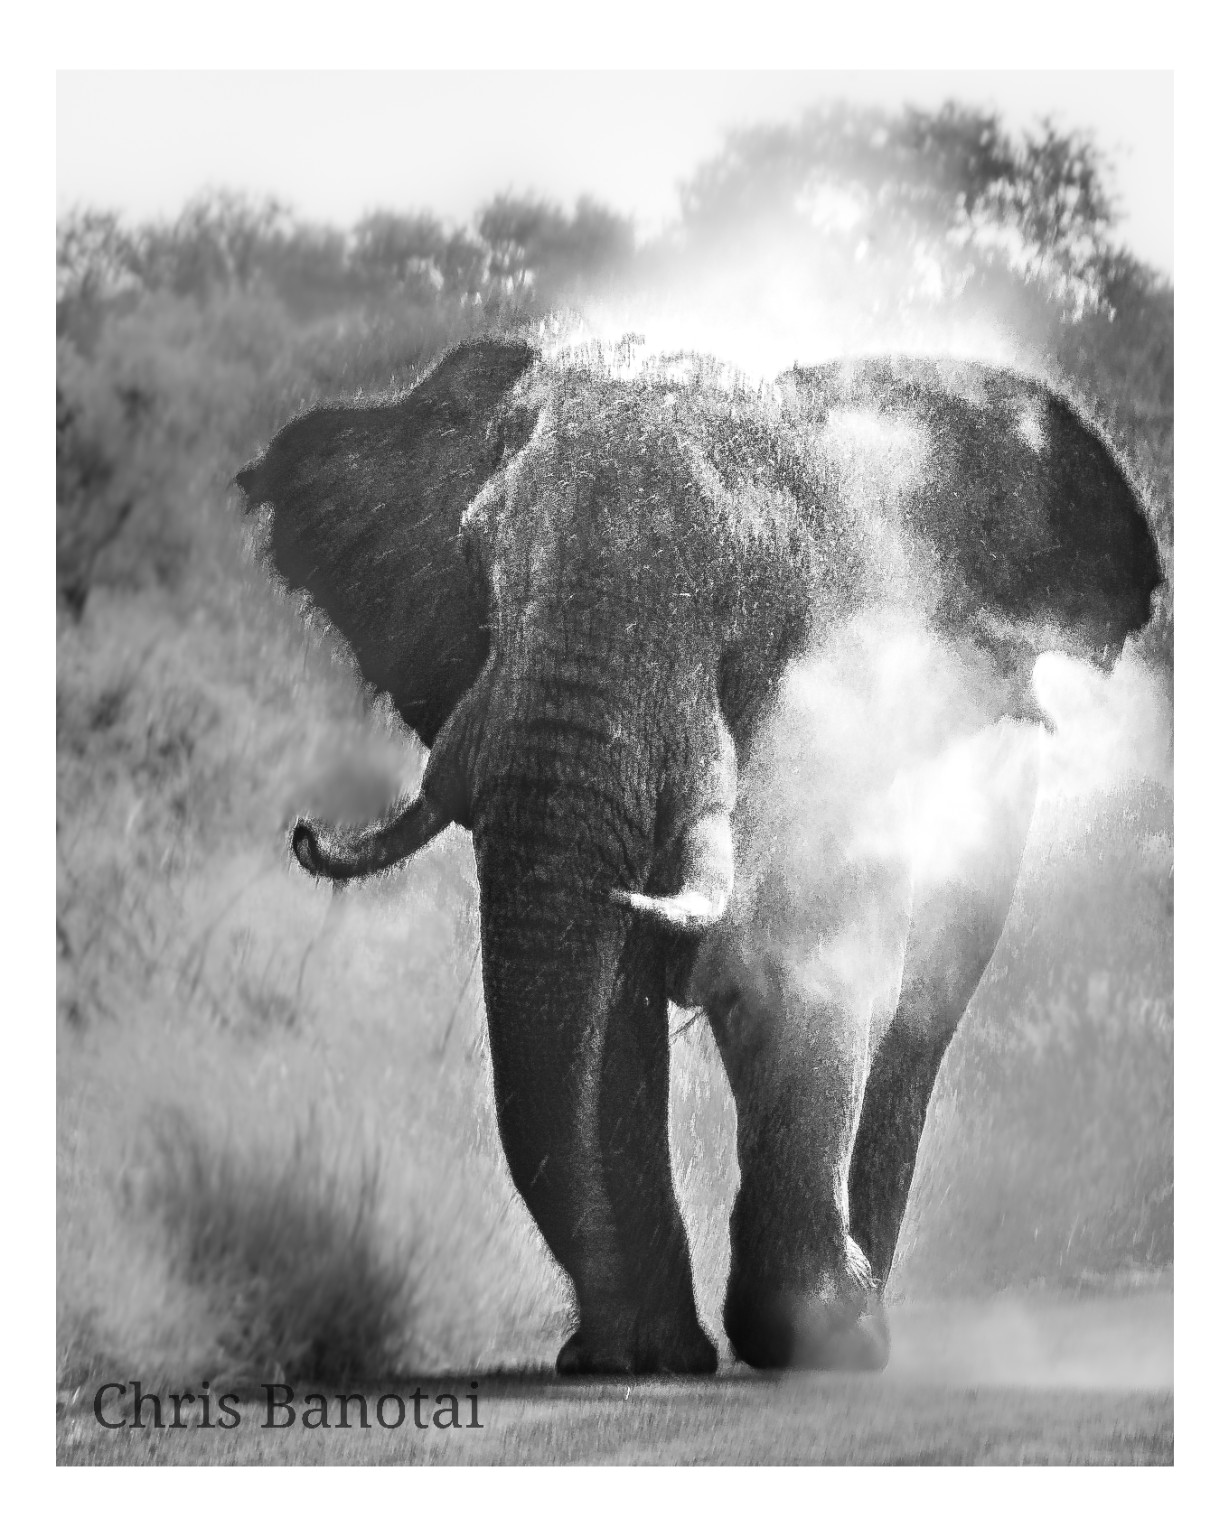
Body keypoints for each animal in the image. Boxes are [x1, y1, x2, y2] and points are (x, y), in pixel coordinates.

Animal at [236, 336, 1162, 1374]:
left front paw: (811, 1337)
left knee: (917, 1025)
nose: (303, 830)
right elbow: (609, 1020)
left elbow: (799, 976)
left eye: (750, 597)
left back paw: (862, 1310)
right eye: (477, 566)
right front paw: (640, 1359)